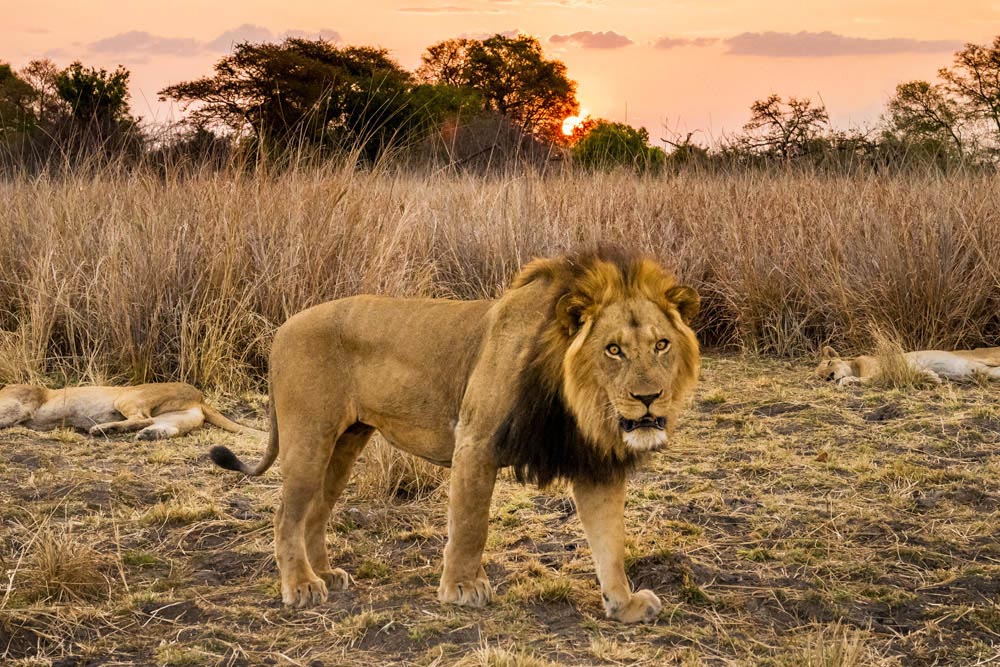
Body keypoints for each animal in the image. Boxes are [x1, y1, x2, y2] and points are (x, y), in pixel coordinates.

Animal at [209, 248, 701, 623]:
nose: (649, 398)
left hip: (345, 443)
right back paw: (302, 586)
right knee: (285, 517)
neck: (575, 403)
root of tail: (282, 329)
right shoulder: (476, 442)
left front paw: (624, 603)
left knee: (315, 513)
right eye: (613, 349)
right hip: (309, 440)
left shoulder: (595, 463)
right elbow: (470, 524)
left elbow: (610, 542)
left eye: (661, 345)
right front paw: (462, 588)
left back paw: (326, 575)